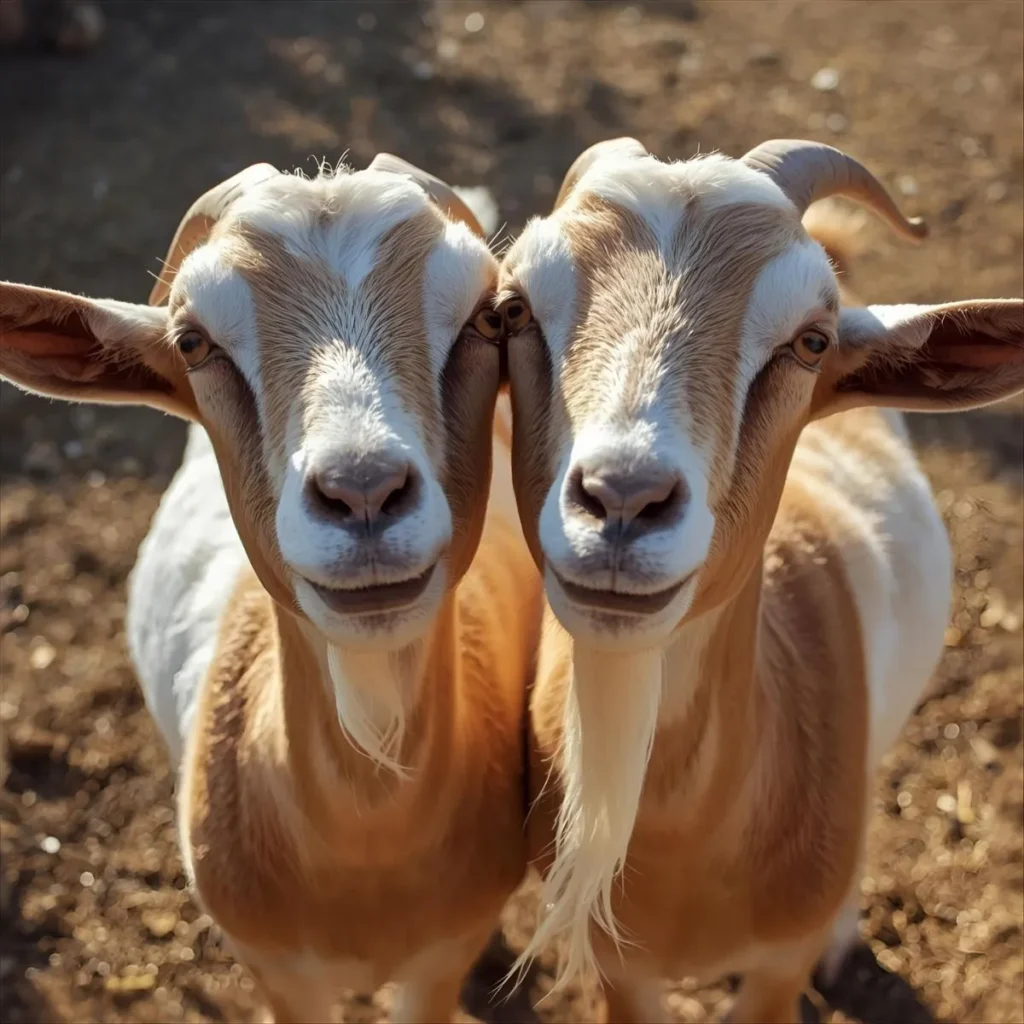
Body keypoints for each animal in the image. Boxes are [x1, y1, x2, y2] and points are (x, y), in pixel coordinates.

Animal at [0, 155, 542, 1023]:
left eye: (487, 319)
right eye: (193, 342)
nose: (363, 491)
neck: (367, 845)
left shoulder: (437, 963)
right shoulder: (278, 972)